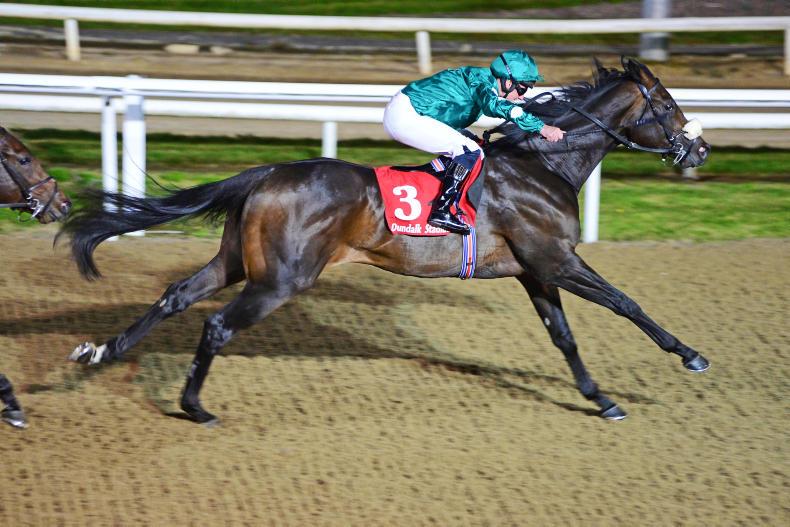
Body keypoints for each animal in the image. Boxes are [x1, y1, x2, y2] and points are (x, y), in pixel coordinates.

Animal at [62, 58, 711, 425]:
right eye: (669, 105)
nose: (700, 149)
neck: (543, 166)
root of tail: (266, 173)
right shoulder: (557, 259)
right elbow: (626, 303)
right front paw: (690, 354)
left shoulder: (534, 270)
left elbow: (564, 337)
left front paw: (601, 399)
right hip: (282, 278)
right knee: (217, 326)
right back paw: (194, 407)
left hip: (237, 262)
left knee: (176, 294)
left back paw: (101, 352)